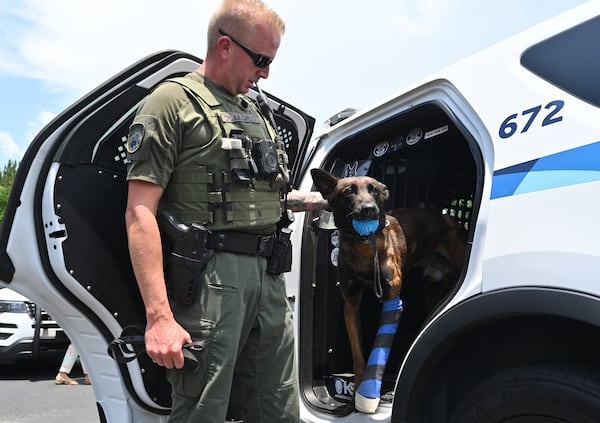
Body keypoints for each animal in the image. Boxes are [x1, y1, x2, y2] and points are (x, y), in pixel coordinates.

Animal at [312, 169, 466, 414]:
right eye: (348, 191)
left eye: (374, 190)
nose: (369, 209)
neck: (363, 245)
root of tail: (449, 218)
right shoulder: (351, 306)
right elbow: (358, 355)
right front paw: (356, 396)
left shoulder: (392, 297)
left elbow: (381, 344)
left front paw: (368, 393)